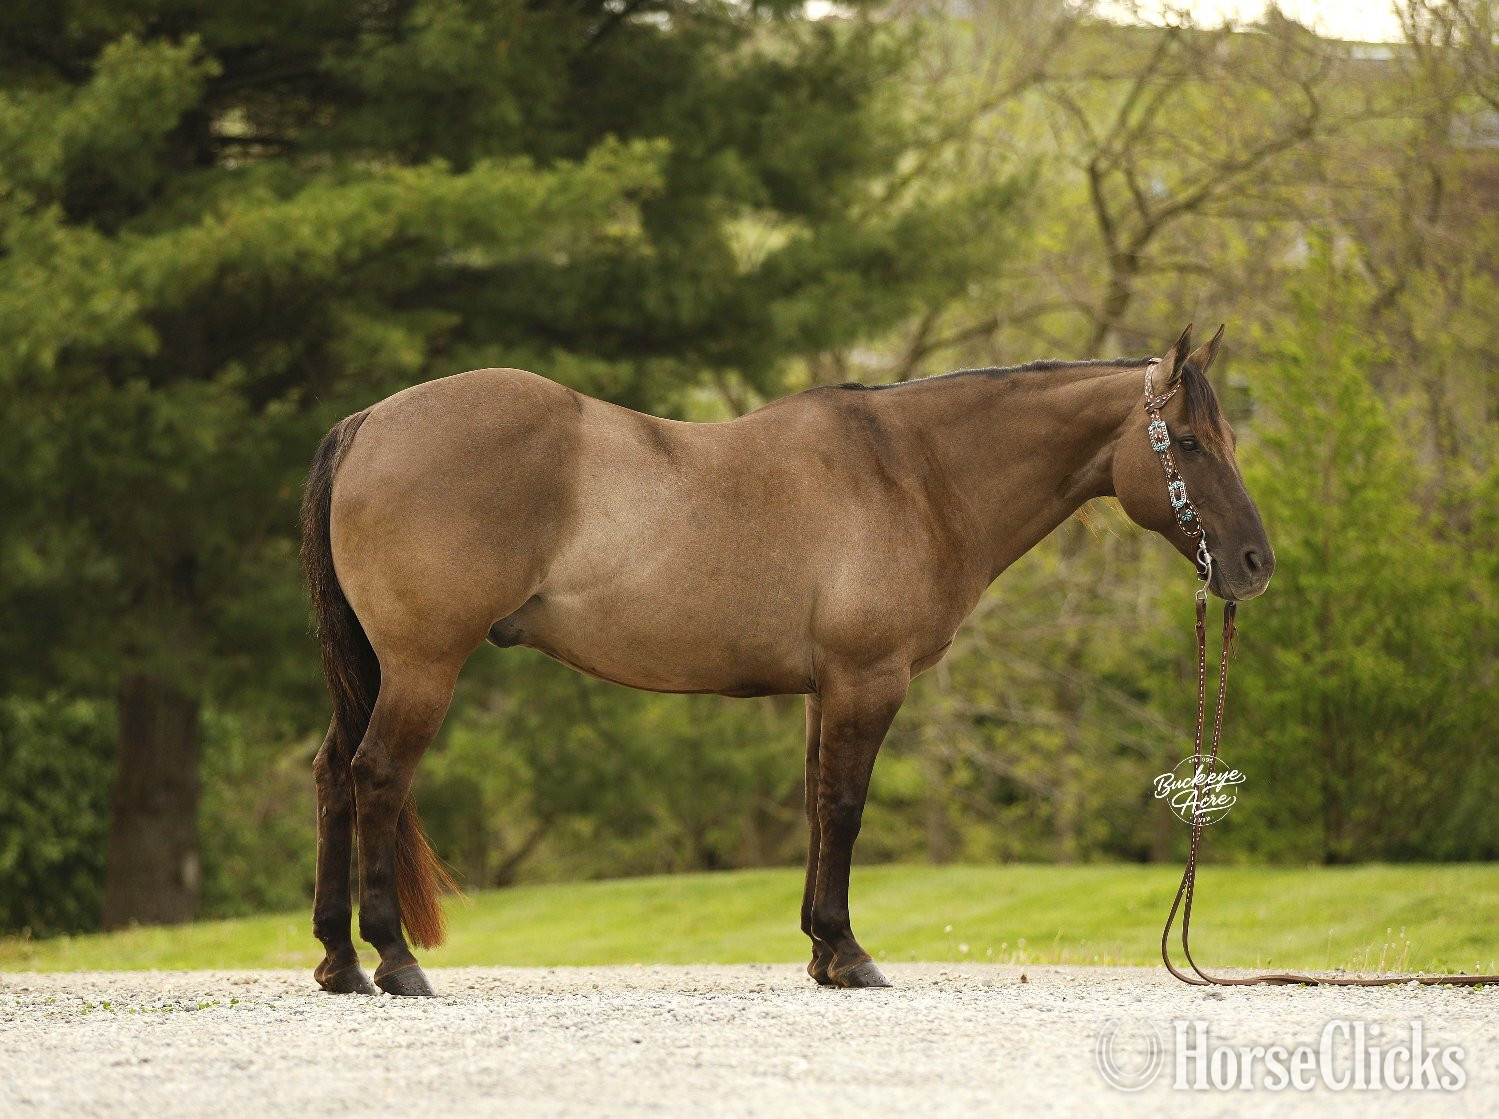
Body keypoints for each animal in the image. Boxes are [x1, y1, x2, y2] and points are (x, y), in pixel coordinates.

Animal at [299, 322, 1274, 996]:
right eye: (1189, 443)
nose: (1254, 564)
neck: (914, 473)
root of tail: (367, 422)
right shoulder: (866, 681)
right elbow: (843, 809)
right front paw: (848, 952)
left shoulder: (821, 690)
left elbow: (814, 804)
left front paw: (818, 950)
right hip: (422, 666)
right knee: (376, 775)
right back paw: (394, 959)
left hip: (376, 671)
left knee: (332, 776)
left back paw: (339, 961)